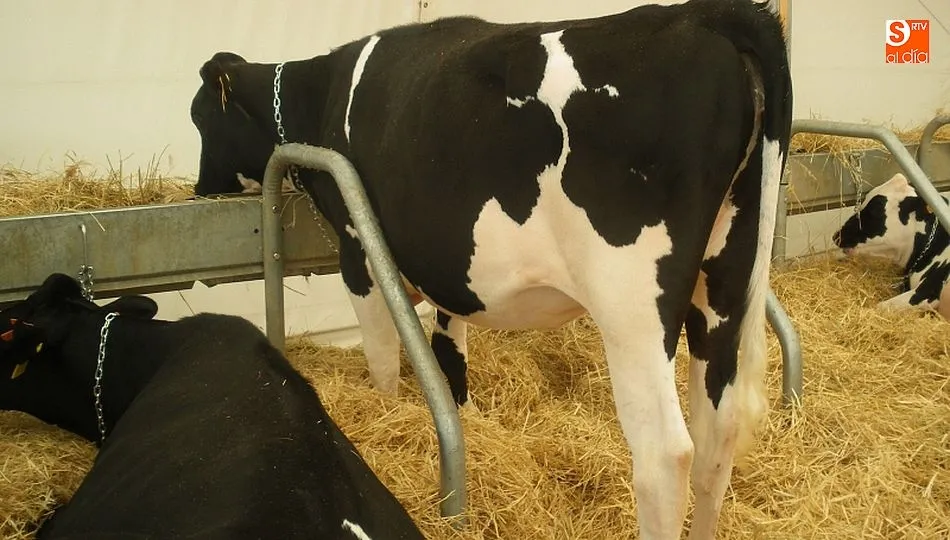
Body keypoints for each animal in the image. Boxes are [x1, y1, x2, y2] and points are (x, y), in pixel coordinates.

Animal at [190, 1, 792, 537]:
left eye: (200, 118)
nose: (199, 188)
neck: (323, 95)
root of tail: (704, 14)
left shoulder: (357, 251)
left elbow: (382, 358)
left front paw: (386, 417)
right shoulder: (450, 271)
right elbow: (449, 353)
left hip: (632, 302)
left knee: (665, 455)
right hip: (724, 282)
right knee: (718, 433)